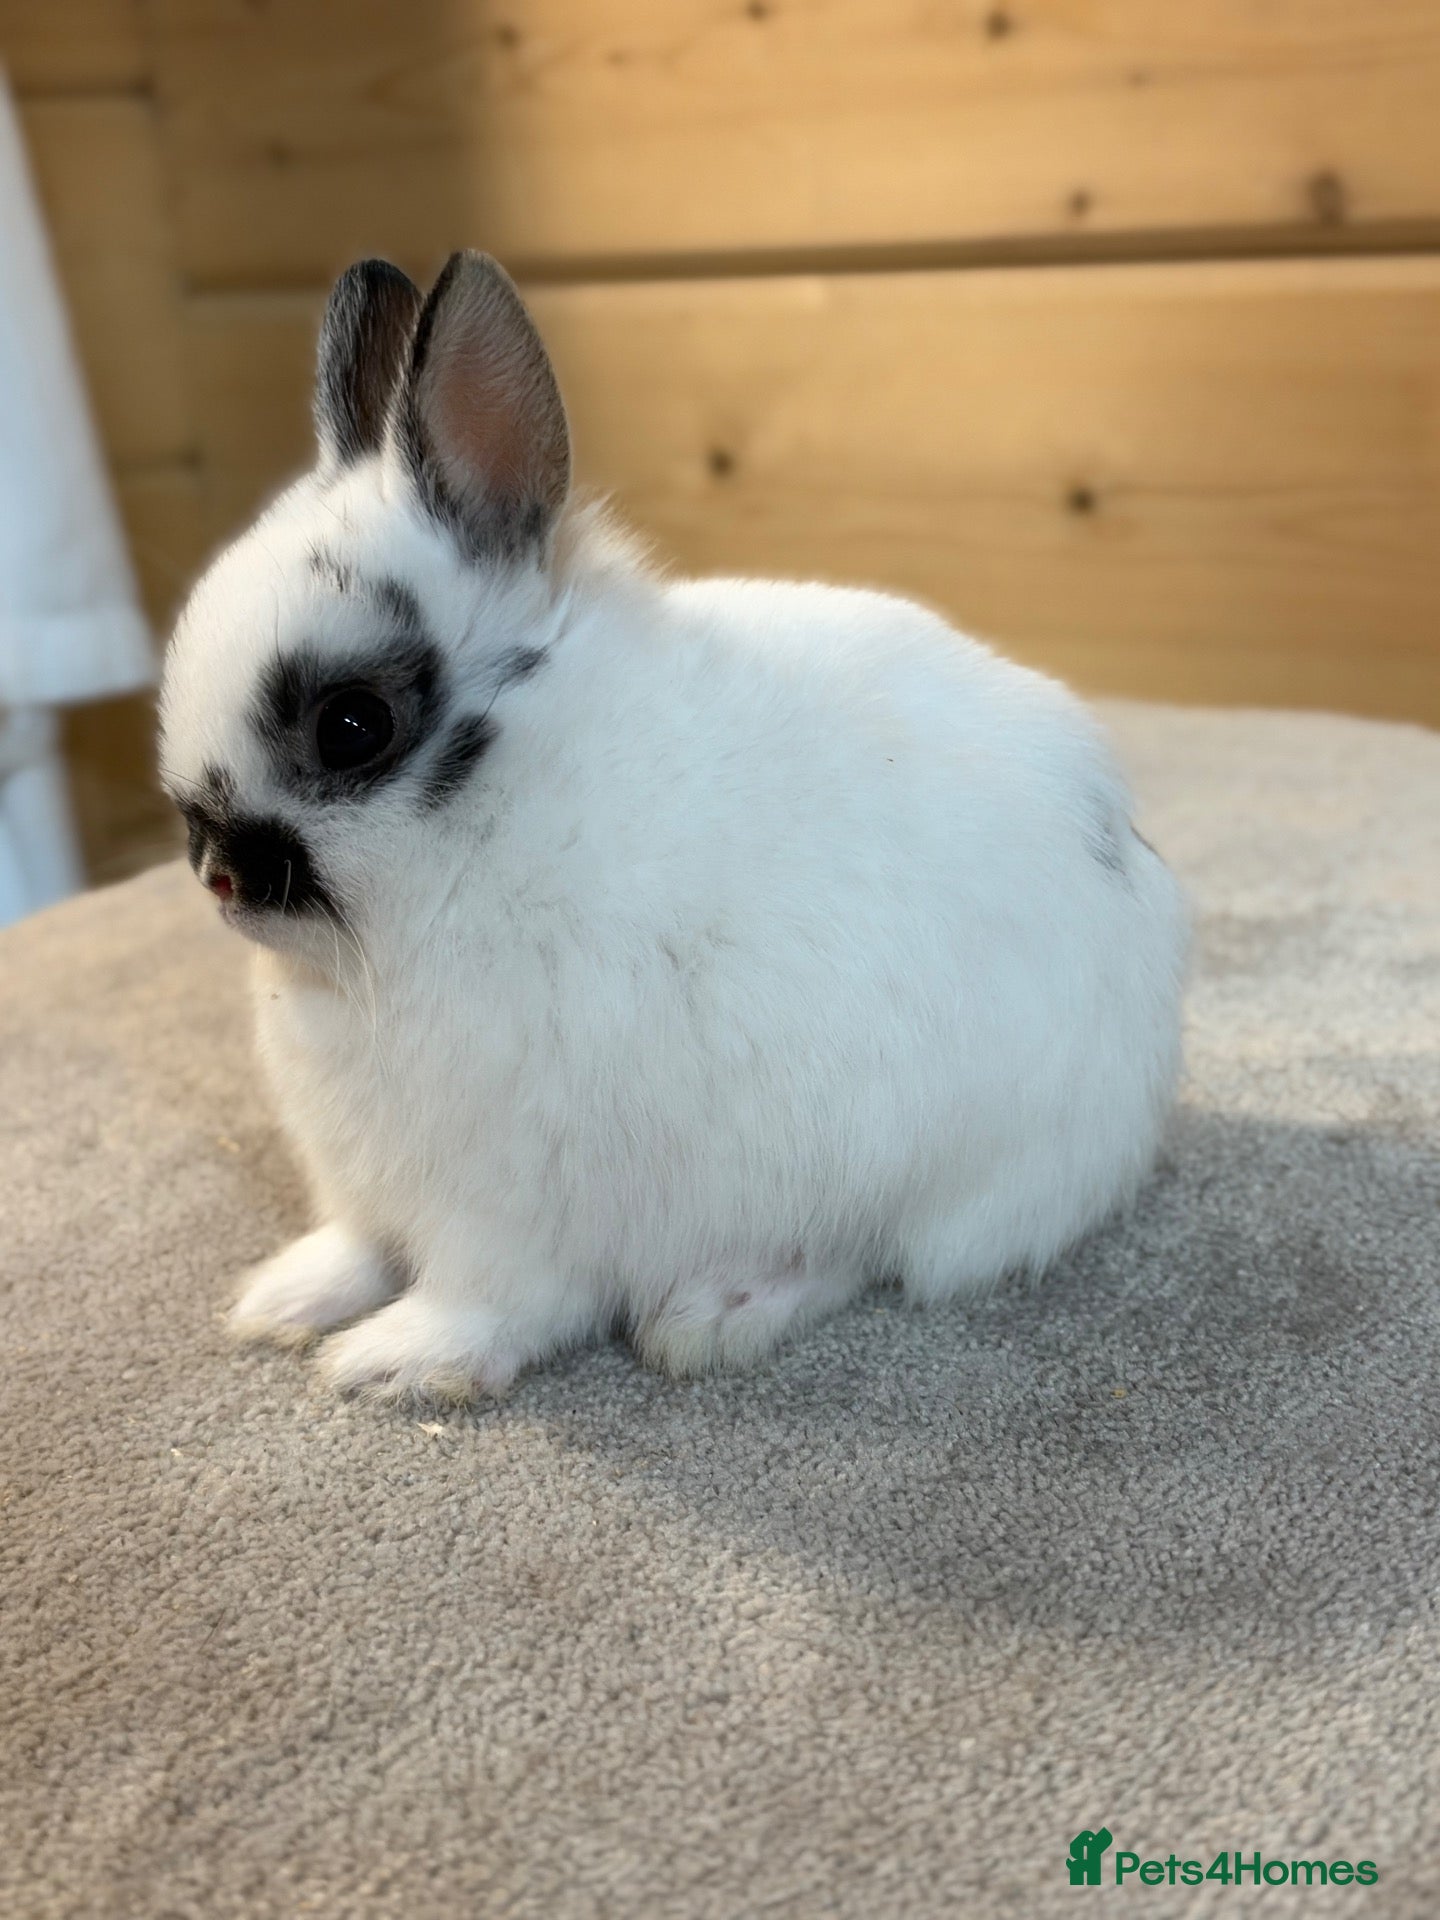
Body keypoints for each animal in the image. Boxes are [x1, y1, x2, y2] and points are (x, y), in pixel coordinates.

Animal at [158, 250, 1189, 1404]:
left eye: (352, 726)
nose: (217, 873)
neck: (499, 829)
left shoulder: (505, 1202)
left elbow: (491, 1301)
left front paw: (390, 1363)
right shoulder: (364, 1177)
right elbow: (361, 1246)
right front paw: (282, 1302)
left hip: (900, 1161)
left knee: (855, 1255)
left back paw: (714, 1315)